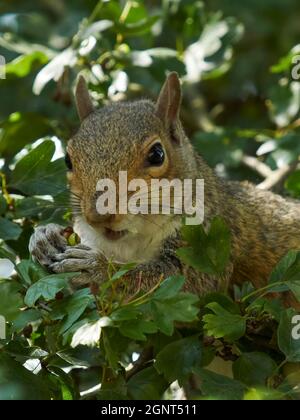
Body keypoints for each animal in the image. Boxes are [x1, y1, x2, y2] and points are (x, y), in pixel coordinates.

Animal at [29, 73, 300, 306]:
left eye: (157, 154)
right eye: (67, 160)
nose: (98, 217)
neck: (131, 241)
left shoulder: (210, 242)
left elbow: (187, 284)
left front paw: (98, 268)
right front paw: (45, 236)